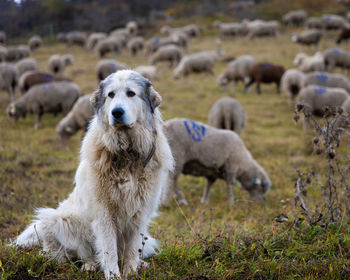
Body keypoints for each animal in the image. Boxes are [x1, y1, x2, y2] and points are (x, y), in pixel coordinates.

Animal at [14, 69, 174, 278]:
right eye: (111, 95)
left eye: (131, 93)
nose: (116, 112)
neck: (126, 152)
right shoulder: (103, 214)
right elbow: (108, 250)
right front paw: (113, 275)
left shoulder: (139, 213)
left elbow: (132, 249)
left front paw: (131, 272)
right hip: (58, 220)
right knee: (74, 253)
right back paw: (88, 265)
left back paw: (141, 264)